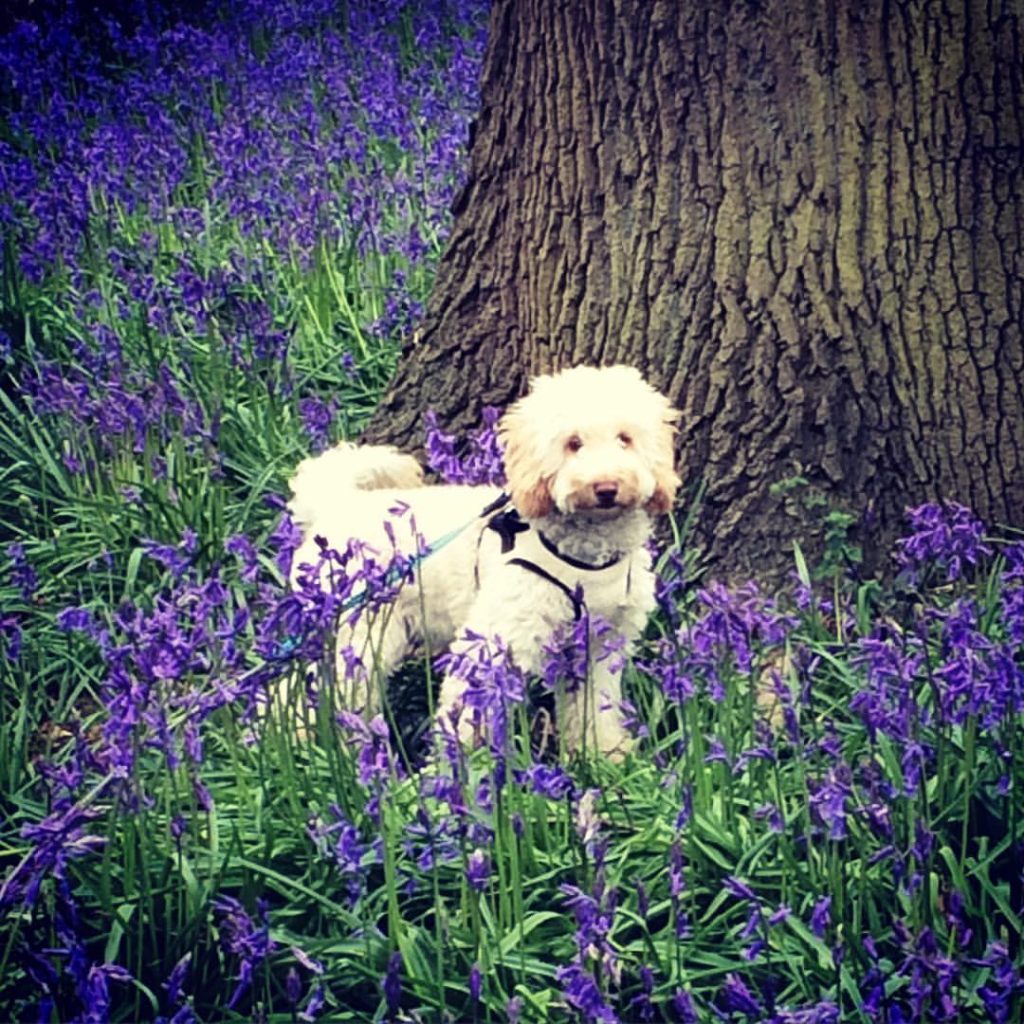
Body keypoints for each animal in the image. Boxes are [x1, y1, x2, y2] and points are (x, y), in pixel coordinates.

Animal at [286, 364, 679, 757]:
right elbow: (470, 705)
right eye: (573, 443)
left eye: (625, 439)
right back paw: (303, 741)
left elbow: (596, 705)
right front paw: (461, 764)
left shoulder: (600, 645)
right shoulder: (498, 636)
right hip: (351, 632)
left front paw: (603, 753)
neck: (586, 557)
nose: (606, 488)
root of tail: (337, 503)